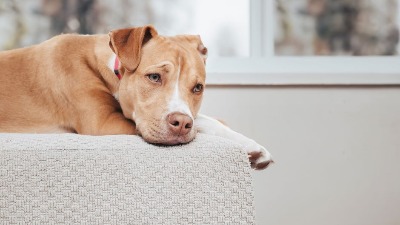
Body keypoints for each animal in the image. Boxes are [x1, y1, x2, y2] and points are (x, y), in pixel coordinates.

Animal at [0, 25, 272, 169]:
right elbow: (202, 122)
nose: (182, 123)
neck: (112, 67)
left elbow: (205, 119)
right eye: (154, 77)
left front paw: (252, 146)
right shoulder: (103, 123)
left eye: (198, 88)